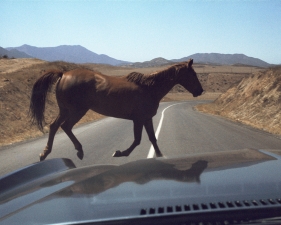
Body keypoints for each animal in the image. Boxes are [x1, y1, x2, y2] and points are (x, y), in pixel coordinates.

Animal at [29, 59, 202, 161]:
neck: (149, 89)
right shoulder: (138, 119)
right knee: (65, 126)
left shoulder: (147, 119)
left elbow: (153, 139)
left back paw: (46, 153)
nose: (200, 91)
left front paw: (160, 156)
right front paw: (120, 153)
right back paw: (78, 151)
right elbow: (137, 140)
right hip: (77, 111)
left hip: (66, 110)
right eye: (192, 73)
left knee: (55, 126)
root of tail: (63, 74)